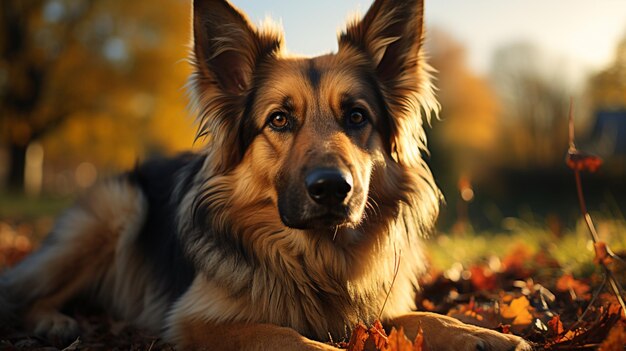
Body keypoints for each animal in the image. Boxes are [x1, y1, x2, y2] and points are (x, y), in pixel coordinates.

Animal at [0, 1, 528, 350]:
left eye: (356, 116)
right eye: (279, 119)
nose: (333, 188)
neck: (316, 260)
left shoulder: (378, 308)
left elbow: (424, 316)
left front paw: (480, 334)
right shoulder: (199, 320)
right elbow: (292, 338)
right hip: (115, 211)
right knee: (24, 295)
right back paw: (53, 322)